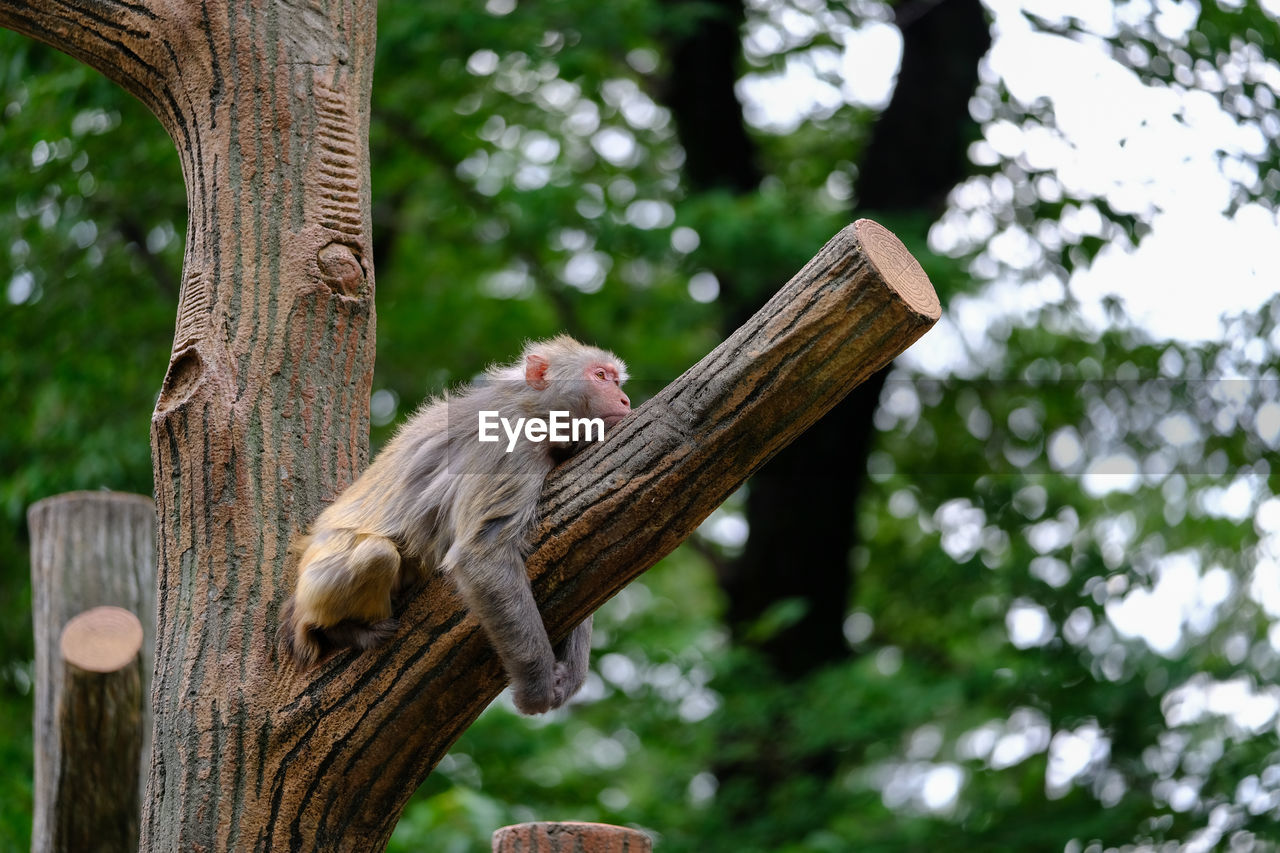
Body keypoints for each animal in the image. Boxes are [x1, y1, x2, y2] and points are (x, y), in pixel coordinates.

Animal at [280, 333, 629, 712]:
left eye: (616, 380)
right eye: (600, 376)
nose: (625, 399)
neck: (533, 409)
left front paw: (571, 675)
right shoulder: (508, 445)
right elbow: (482, 555)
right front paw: (536, 686)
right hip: (316, 583)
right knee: (378, 555)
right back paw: (341, 630)